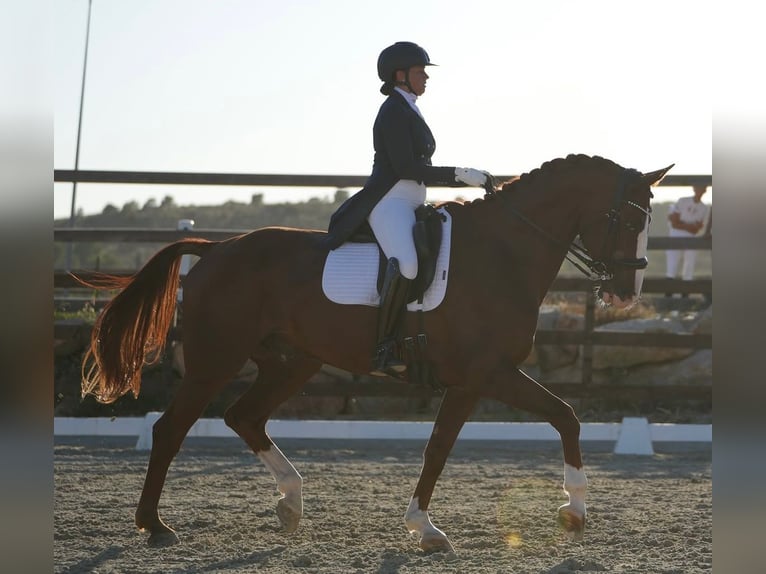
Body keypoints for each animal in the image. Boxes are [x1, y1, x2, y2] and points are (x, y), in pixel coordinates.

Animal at [79, 155, 672, 556]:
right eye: (627, 219)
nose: (627, 293)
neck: (503, 253)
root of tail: (216, 248)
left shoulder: (476, 380)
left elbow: (463, 443)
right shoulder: (485, 375)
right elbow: (546, 421)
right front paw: (566, 512)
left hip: (293, 361)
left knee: (243, 416)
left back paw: (290, 503)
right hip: (216, 359)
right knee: (171, 428)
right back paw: (154, 525)